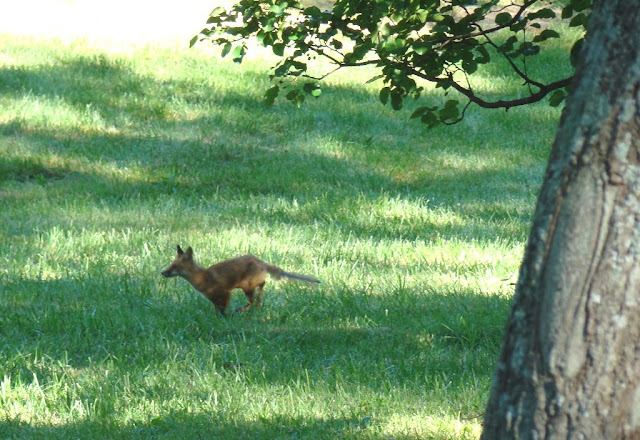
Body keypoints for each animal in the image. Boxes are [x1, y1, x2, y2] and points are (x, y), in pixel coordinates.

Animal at [161, 245, 321, 315]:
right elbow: (217, 309)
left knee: (254, 297)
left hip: (246, 287)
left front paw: (225, 318)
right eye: (171, 265)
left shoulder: (225, 293)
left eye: (174, 267)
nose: (162, 272)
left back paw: (242, 310)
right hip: (249, 287)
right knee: (259, 293)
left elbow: (223, 311)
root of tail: (262, 262)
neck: (202, 278)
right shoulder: (214, 298)